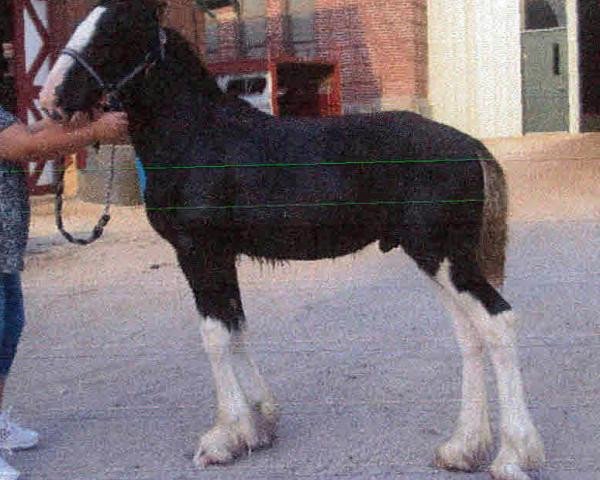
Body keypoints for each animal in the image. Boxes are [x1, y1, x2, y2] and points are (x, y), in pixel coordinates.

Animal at [37, 1, 544, 478]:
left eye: (118, 27)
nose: (49, 98)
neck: (198, 136)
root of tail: (471, 146)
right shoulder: (223, 256)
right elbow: (236, 326)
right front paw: (260, 424)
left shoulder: (199, 251)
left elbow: (215, 335)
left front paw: (225, 437)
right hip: (441, 259)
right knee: (470, 334)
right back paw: (463, 448)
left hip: (442, 256)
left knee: (497, 323)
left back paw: (512, 456)